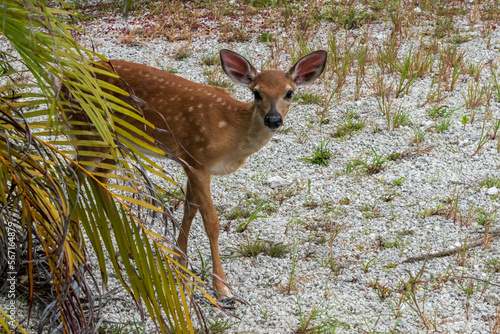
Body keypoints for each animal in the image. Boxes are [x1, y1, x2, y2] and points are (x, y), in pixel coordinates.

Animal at [63, 49, 328, 306]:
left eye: (289, 93)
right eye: (256, 93)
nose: (273, 119)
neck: (231, 132)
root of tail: (63, 82)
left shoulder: (190, 163)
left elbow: (189, 210)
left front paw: (180, 262)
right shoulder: (198, 159)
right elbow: (211, 222)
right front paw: (222, 289)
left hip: (113, 141)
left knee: (97, 178)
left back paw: (126, 246)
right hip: (90, 129)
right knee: (70, 174)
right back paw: (76, 253)